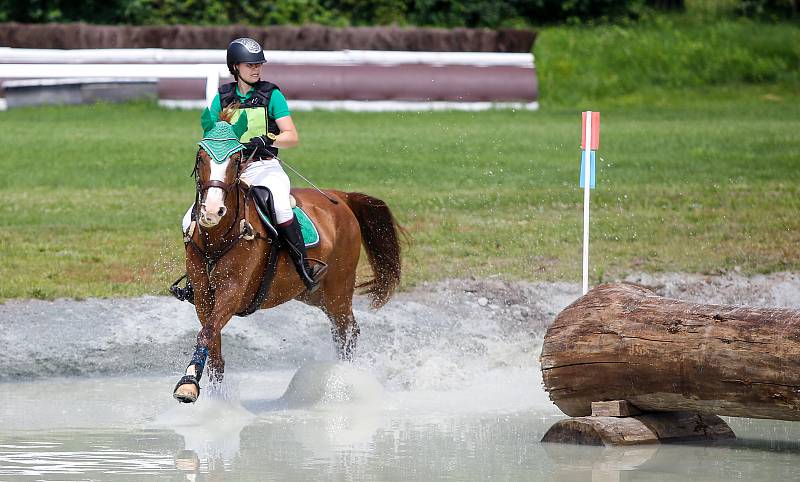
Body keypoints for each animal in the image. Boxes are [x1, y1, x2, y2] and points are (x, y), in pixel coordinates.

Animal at [171, 106, 404, 402]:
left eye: (236, 160)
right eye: (201, 157)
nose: (212, 211)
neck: (218, 235)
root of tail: (341, 197)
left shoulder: (232, 293)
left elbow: (207, 333)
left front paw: (188, 384)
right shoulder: (203, 295)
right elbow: (213, 348)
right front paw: (212, 395)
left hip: (338, 287)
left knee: (347, 331)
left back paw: (344, 381)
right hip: (312, 293)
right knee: (341, 330)